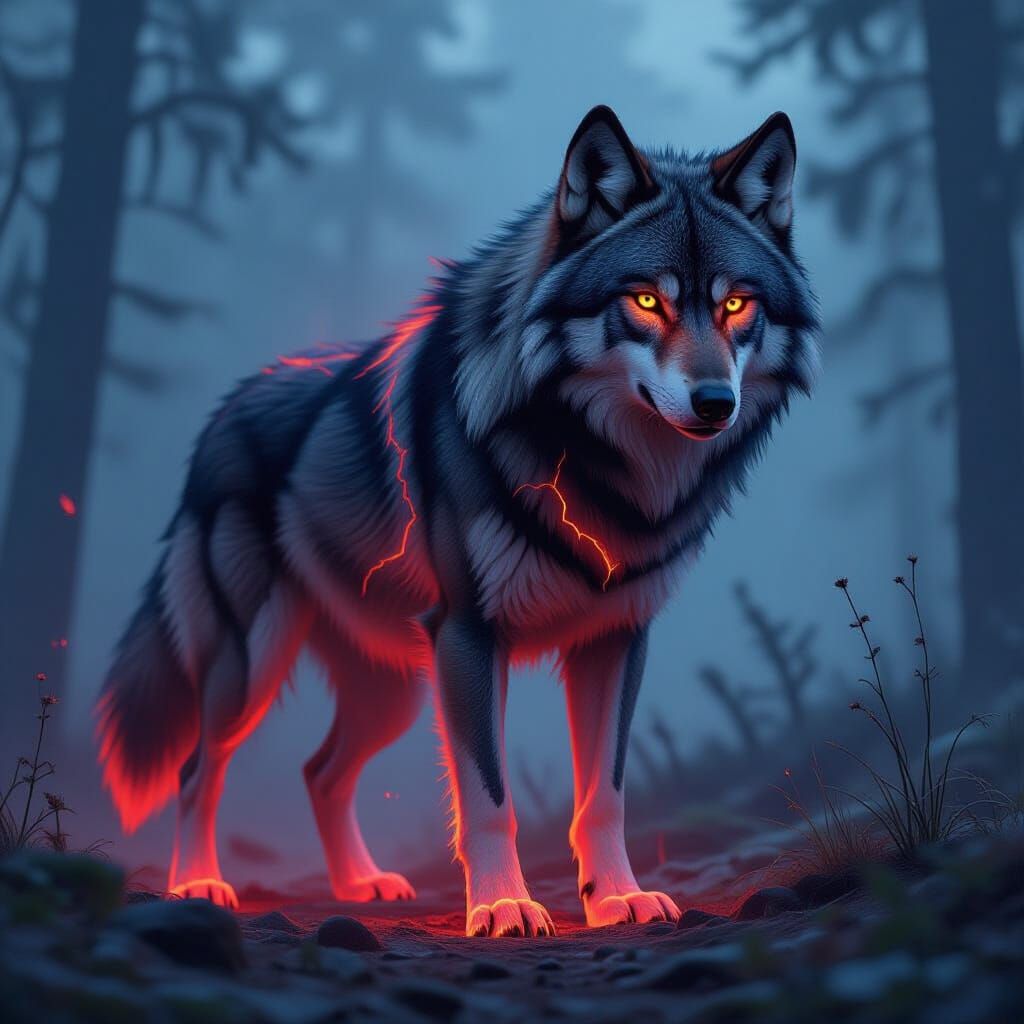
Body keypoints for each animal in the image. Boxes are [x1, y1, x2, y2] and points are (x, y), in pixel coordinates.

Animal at [96, 106, 819, 937]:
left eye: (736, 305)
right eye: (645, 302)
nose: (714, 403)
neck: (601, 468)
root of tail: (223, 412)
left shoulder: (615, 639)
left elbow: (603, 795)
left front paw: (616, 899)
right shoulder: (471, 636)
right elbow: (489, 797)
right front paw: (504, 905)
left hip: (394, 691)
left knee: (320, 772)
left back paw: (361, 885)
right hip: (257, 665)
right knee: (197, 767)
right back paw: (197, 886)